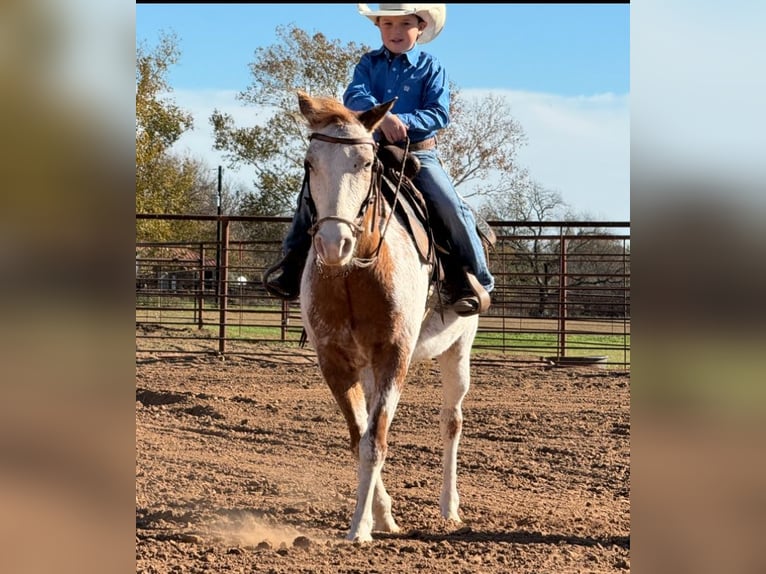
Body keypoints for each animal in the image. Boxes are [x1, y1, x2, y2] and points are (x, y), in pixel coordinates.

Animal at [296, 91, 480, 544]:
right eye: (310, 162)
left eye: (366, 162)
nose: (333, 244)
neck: (354, 275)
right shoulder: (335, 362)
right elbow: (359, 437)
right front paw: (379, 516)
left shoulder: (394, 355)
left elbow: (375, 441)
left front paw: (360, 528)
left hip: (459, 350)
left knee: (451, 422)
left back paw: (449, 506)